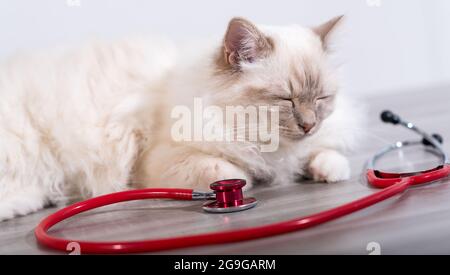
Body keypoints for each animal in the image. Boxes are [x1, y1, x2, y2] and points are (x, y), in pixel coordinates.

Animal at [0, 15, 366, 222]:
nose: (309, 125)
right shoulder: (160, 160)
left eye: (321, 99)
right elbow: (232, 170)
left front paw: (326, 170)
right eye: (285, 100)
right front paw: (253, 177)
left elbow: (325, 155)